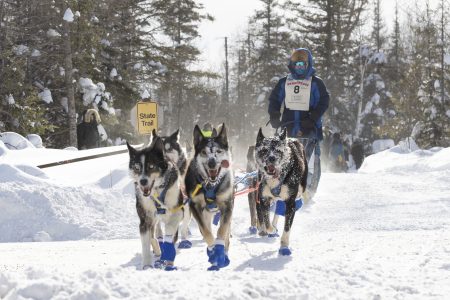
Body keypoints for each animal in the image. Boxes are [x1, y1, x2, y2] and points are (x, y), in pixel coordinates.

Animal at [126, 137, 185, 270]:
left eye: (151, 166)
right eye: (137, 167)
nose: (142, 181)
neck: (157, 191)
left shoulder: (178, 212)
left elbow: (170, 229)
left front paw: (168, 255)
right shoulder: (145, 219)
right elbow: (146, 243)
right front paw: (147, 265)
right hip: (152, 218)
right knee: (153, 235)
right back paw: (158, 250)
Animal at [185, 123, 234, 270]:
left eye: (218, 151)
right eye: (204, 152)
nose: (212, 162)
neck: (211, 185)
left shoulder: (227, 205)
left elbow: (222, 230)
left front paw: (220, 249)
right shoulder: (195, 206)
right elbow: (206, 231)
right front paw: (213, 249)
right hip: (205, 212)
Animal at [255, 127, 308, 256]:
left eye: (278, 150)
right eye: (264, 150)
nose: (272, 158)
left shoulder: (290, 203)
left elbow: (287, 227)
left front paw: (284, 246)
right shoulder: (264, 199)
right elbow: (266, 221)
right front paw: (271, 229)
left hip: (301, 185)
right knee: (277, 209)